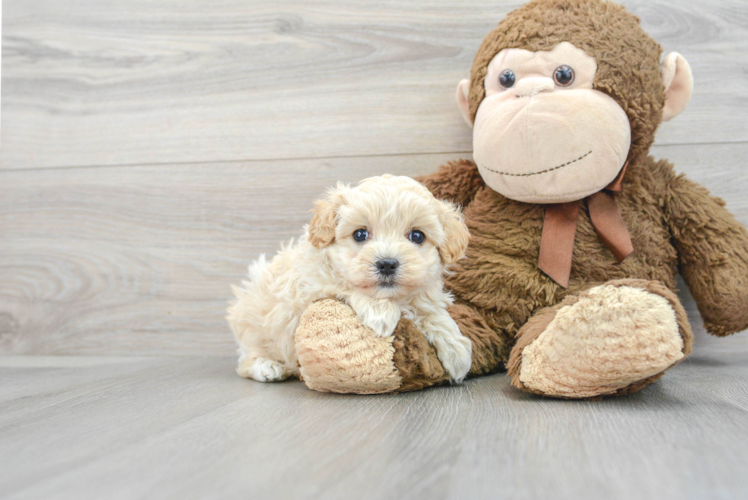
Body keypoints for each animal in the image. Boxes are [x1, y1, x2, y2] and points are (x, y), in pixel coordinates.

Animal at [228, 177, 474, 386]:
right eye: (360, 234)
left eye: (417, 236)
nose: (387, 263)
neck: (393, 297)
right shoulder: (312, 282)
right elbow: (345, 284)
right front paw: (380, 312)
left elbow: (432, 313)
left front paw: (456, 349)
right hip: (252, 323)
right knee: (245, 361)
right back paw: (267, 367)